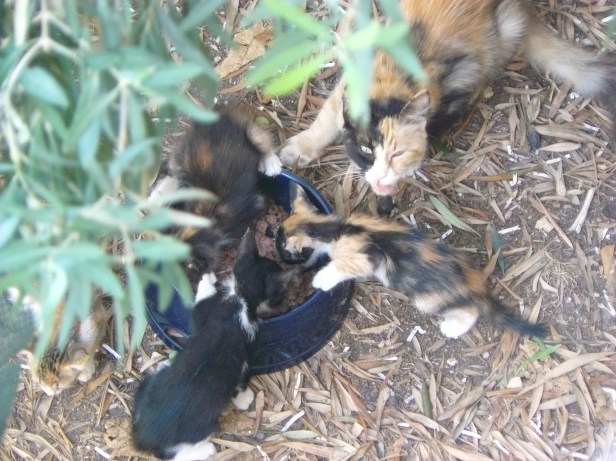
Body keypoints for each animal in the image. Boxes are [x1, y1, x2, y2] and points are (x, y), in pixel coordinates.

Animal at [131, 230, 297, 461]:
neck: (239, 296)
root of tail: (143, 436)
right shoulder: (242, 358)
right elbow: (241, 380)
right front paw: (245, 399)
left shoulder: (204, 311)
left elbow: (200, 301)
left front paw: (206, 278)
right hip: (201, 427)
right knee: (173, 455)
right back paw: (206, 449)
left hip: (151, 380)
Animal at [276, 184, 546, 339]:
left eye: (283, 252)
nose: (281, 259)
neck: (336, 228)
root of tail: (474, 284)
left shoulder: (366, 257)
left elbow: (342, 264)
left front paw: (321, 279)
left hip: (428, 301)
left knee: (471, 310)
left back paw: (453, 328)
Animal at [278, 0, 615, 207]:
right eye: (364, 149)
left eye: (398, 153)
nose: (382, 178)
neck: (394, 77)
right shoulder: (350, 81)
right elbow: (327, 116)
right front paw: (301, 148)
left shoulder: (465, 76)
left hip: (506, 28)